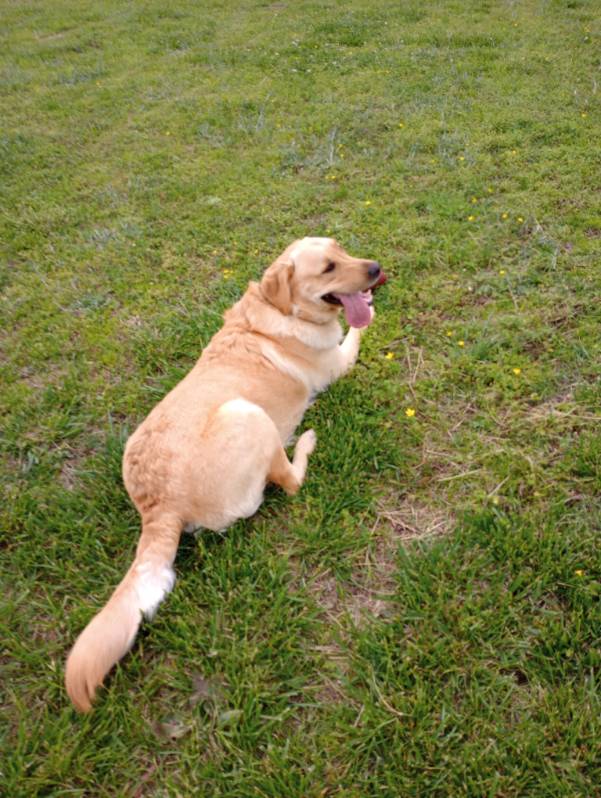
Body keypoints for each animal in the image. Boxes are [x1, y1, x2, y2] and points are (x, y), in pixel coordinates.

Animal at [65, 237, 385, 712]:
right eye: (328, 268)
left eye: (342, 250)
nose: (377, 268)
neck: (279, 311)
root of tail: (158, 506)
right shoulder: (337, 362)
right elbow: (359, 332)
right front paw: (372, 317)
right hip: (248, 414)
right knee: (290, 482)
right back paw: (305, 441)